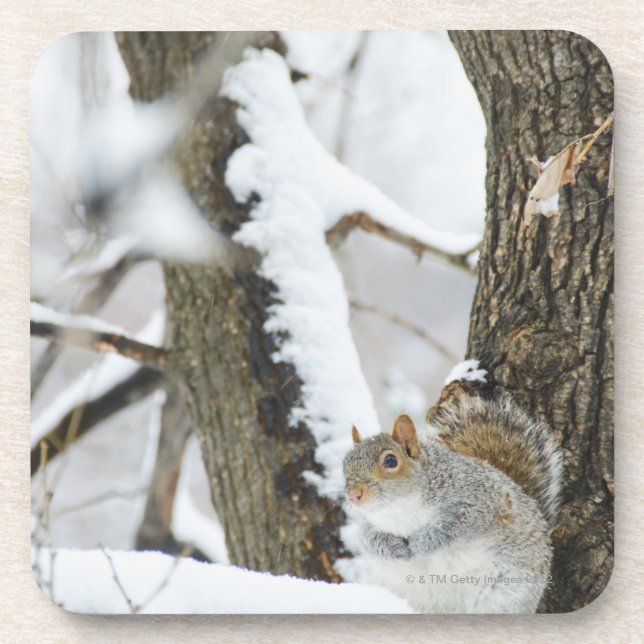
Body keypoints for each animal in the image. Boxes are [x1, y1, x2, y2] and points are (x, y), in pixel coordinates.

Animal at [343, 376, 562, 614]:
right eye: (345, 464)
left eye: (391, 461)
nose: (354, 494)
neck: (400, 508)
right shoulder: (370, 525)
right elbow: (370, 541)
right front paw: (394, 549)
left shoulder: (478, 500)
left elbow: (454, 526)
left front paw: (421, 543)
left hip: (503, 596)